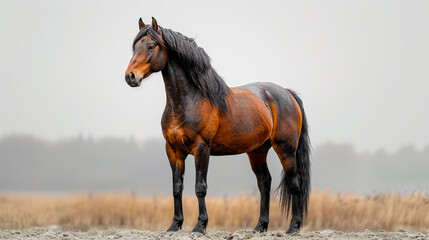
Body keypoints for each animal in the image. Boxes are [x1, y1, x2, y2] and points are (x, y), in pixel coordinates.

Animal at [124, 17, 310, 234]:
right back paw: (260, 226)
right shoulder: (173, 150)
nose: (130, 77)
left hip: (285, 148)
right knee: (264, 182)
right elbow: (177, 187)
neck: (189, 100)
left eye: (151, 46)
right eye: (135, 47)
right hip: (257, 150)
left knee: (294, 183)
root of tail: (287, 94)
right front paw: (175, 225)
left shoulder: (201, 148)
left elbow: (200, 187)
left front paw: (200, 225)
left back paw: (293, 227)